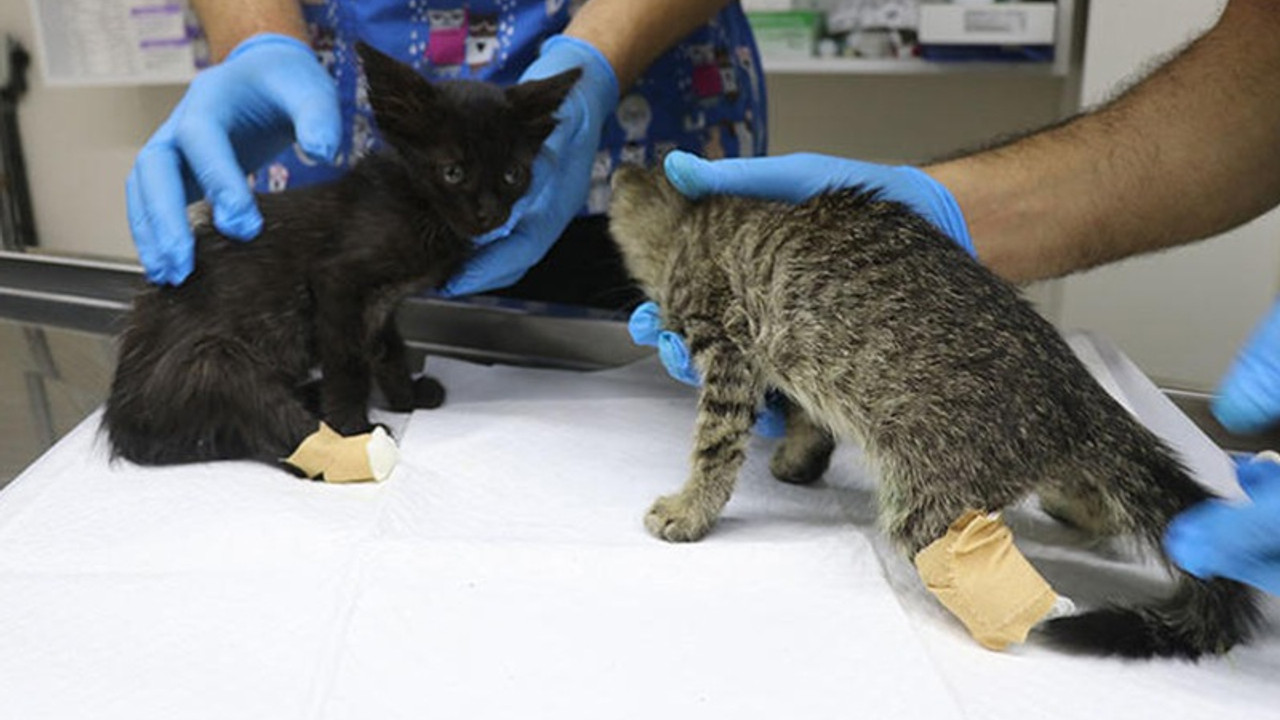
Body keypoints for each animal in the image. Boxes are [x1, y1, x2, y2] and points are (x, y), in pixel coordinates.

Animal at [104, 41, 581, 466]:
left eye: (512, 174)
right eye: (453, 172)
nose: (489, 213)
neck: (417, 206)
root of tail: (122, 423)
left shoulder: (381, 306)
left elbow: (390, 349)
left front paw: (407, 396)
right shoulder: (338, 281)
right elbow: (349, 363)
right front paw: (354, 426)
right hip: (217, 362)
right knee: (281, 438)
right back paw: (340, 442)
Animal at [606, 165, 1259, 661]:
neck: (700, 224)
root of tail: (1075, 388)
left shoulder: (727, 342)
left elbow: (716, 443)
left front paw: (691, 508)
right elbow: (809, 418)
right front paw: (798, 455)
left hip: (932, 495)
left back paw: (1020, 615)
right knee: (1099, 492)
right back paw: (1078, 505)